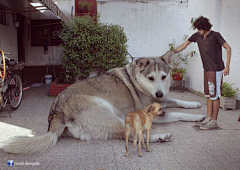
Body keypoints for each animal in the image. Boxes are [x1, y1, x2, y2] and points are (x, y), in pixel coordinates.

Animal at [3, 50, 204, 154]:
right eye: (150, 78)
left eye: (163, 76)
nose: (160, 93)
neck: (139, 82)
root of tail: (56, 112)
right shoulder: (150, 114)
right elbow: (178, 114)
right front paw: (197, 117)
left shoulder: (164, 101)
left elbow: (177, 101)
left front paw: (195, 106)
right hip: (114, 115)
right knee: (133, 136)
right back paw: (161, 137)